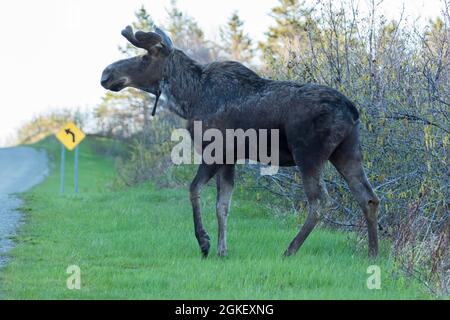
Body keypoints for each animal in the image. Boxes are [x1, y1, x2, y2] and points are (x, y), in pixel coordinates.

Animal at [101, 26, 380, 258]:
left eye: (145, 58)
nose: (106, 73)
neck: (188, 98)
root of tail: (352, 110)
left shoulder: (214, 151)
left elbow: (194, 190)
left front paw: (204, 243)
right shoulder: (229, 159)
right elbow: (223, 204)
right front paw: (222, 250)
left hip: (308, 155)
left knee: (320, 201)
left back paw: (290, 249)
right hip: (346, 151)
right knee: (368, 197)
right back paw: (372, 254)